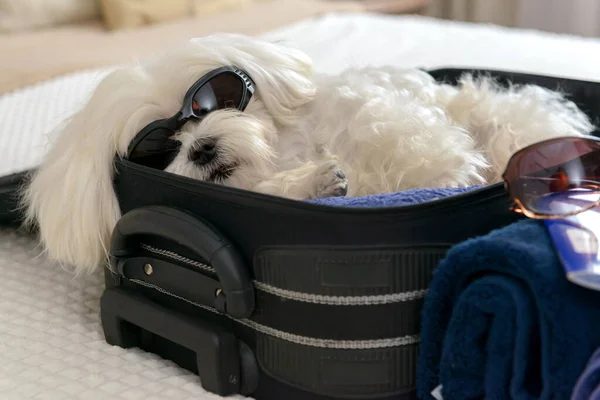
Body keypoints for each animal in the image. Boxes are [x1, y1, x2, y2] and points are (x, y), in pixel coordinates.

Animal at [22, 33, 596, 276]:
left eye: (211, 101)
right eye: (156, 148)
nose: (203, 147)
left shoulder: (374, 113)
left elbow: (404, 140)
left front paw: (446, 172)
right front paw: (320, 183)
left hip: (510, 119)